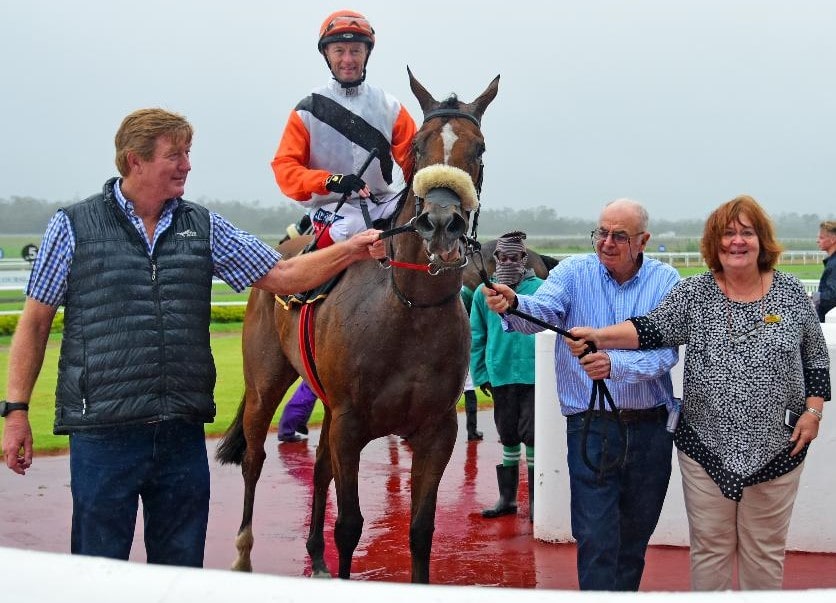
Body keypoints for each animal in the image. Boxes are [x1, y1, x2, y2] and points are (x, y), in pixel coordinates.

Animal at [217, 68, 496, 584]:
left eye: (480, 149)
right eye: (418, 146)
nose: (442, 223)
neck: (409, 310)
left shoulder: (436, 431)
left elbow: (420, 530)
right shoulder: (349, 423)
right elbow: (349, 525)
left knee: (319, 467)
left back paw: (316, 557)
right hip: (264, 382)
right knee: (254, 457)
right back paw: (243, 555)